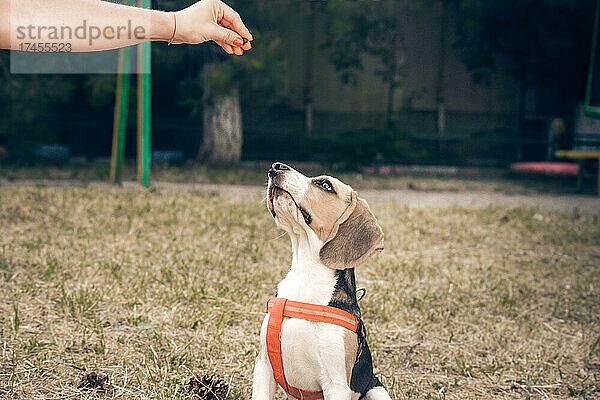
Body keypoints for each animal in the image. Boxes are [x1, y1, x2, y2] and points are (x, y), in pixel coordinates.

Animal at [251, 162, 392, 400]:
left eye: (325, 185)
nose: (275, 166)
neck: (306, 274)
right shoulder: (264, 367)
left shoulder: (336, 384)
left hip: (376, 390)